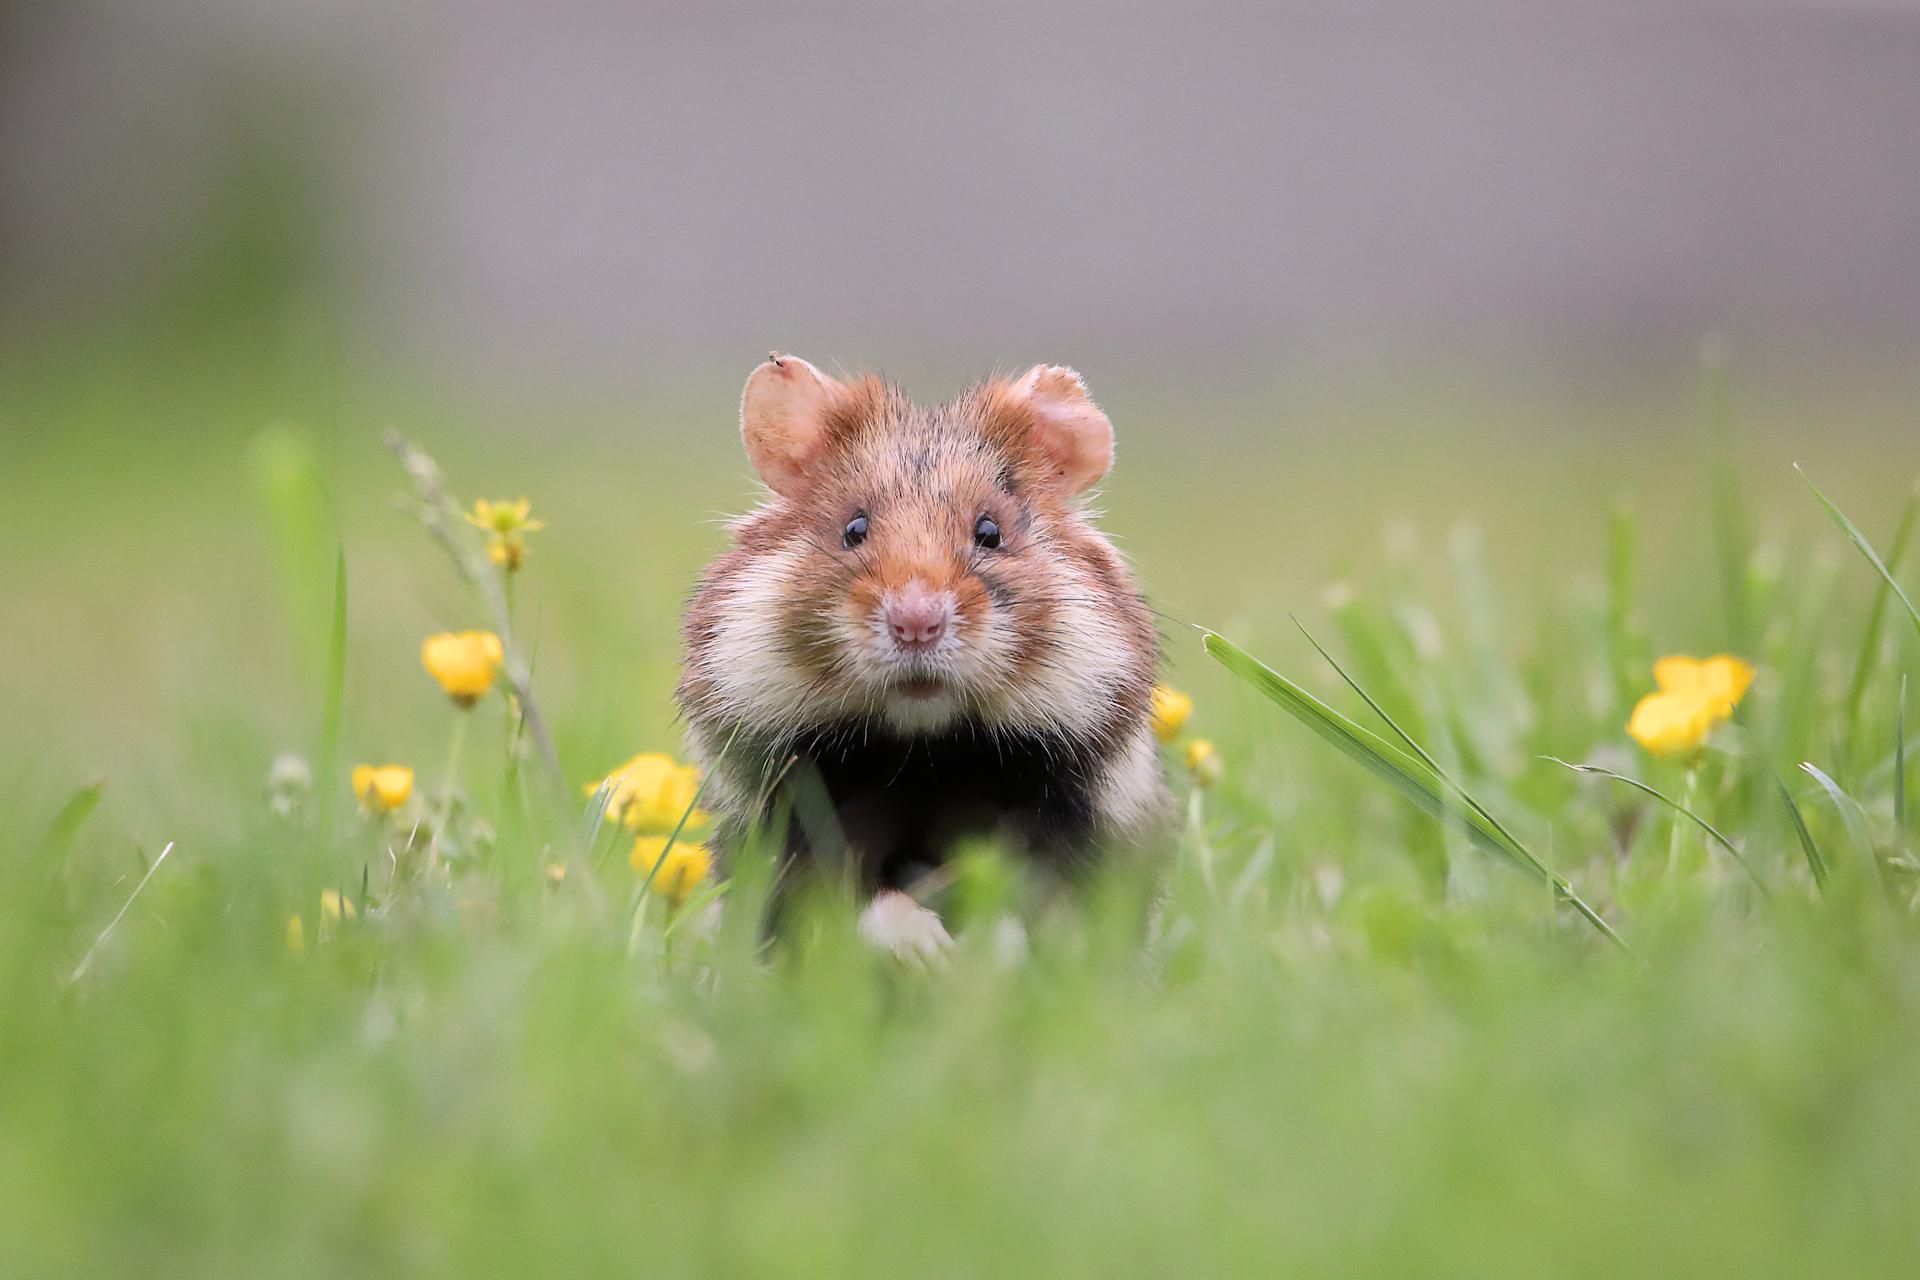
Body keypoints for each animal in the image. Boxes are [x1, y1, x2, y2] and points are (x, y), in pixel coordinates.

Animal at [683, 351, 1175, 951]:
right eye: (854, 529)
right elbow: (859, 906)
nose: (916, 623)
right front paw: (928, 949)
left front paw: (975, 952)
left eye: (990, 532)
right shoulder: (796, 828)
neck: (924, 754)